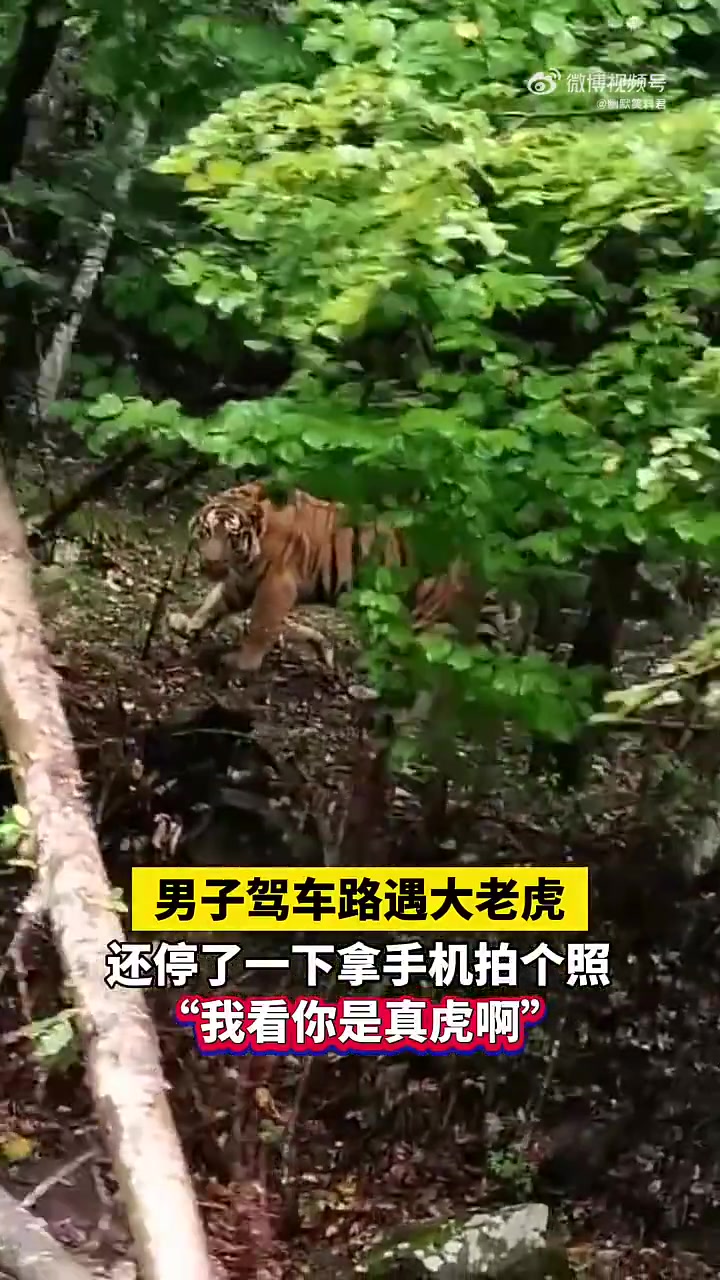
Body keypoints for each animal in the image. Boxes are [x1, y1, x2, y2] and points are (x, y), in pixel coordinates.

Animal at [167, 481, 524, 675]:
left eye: (231, 538)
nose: (211, 564)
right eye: (206, 532)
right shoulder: (244, 580)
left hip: (428, 617)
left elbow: (260, 626)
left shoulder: (275, 584)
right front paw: (189, 624)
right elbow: (216, 601)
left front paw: (243, 662)